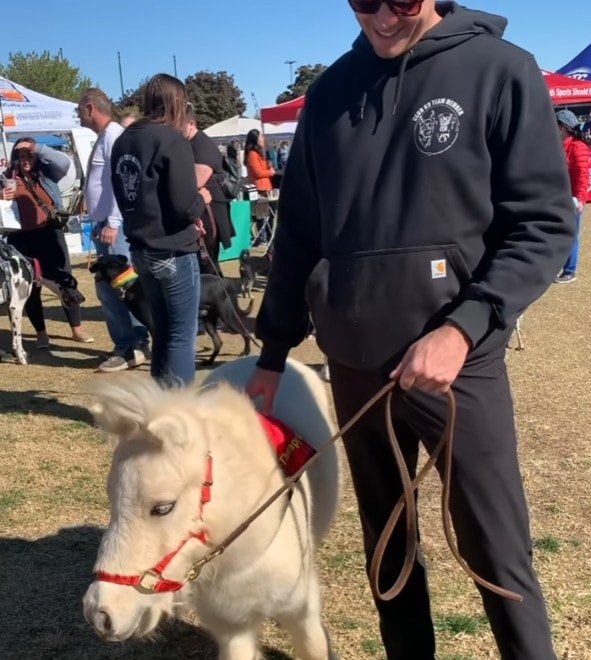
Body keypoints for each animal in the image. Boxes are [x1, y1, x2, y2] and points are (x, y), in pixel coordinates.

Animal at [89, 254, 252, 366]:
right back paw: (209, 361)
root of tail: (226, 282)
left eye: (99, 261)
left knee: (245, 333)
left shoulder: (154, 327)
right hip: (209, 321)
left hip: (228, 316)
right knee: (218, 343)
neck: (130, 283)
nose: (90, 266)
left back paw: (246, 351)